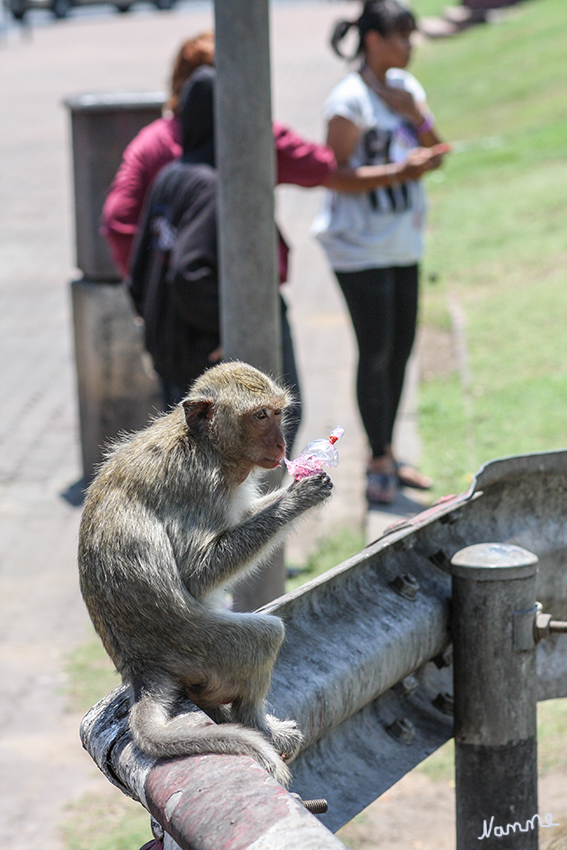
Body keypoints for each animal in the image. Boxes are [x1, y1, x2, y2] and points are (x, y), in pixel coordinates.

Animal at [76, 358, 332, 780]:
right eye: (260, 416)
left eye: (277, 413)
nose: (281, 444)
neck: (203, 443)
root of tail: (141, 668)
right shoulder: (197, 485)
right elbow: (197, 573)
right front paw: (301, 495)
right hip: (204, 650)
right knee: (265, 636)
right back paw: (259, 728)